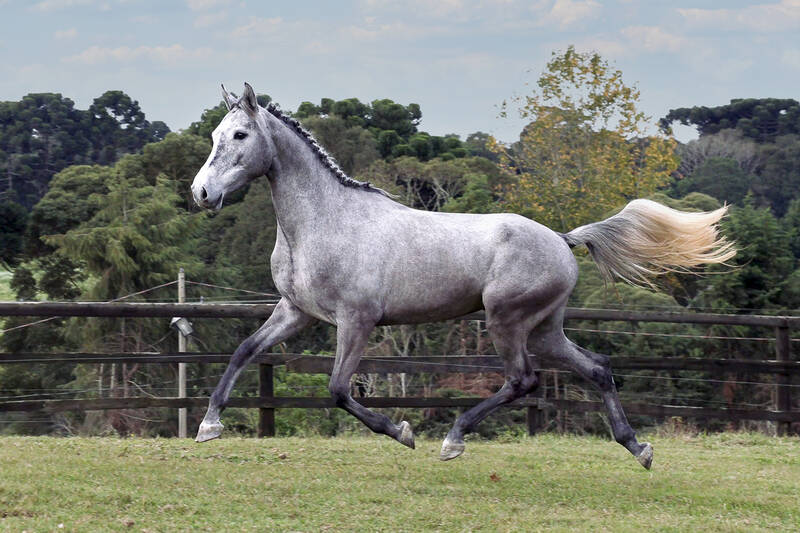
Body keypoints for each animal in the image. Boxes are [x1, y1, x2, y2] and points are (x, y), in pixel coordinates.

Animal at [191, 81, 736, 468]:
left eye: (239, 135)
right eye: (215, 136)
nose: (200, 193)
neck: (325, 221)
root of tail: (562, 239)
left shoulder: (356, 321)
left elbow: (339, 390)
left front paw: (403, 432)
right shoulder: (297, 312)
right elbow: (243, 351)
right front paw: (208, 425)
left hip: (505, 320)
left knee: (523, 381)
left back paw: (452, 439)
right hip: (543, 329)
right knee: (597, 368)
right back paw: (638, 448)